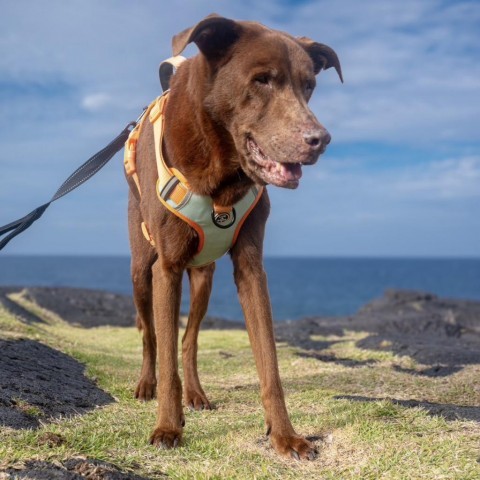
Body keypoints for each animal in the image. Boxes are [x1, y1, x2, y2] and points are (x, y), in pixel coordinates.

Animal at [127, 13, 342, 460]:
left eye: (309, 85)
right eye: (261, 80)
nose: (320, 140)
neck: (220, 172)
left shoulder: (251, 267)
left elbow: (269, 364)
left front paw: (285, 435)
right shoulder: (167, 269)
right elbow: (164, 353)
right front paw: (167, 427)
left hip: (204, 277)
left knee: (189, 340)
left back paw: (196, 394)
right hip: (141, 269)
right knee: (150, 335)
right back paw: (146, 384)